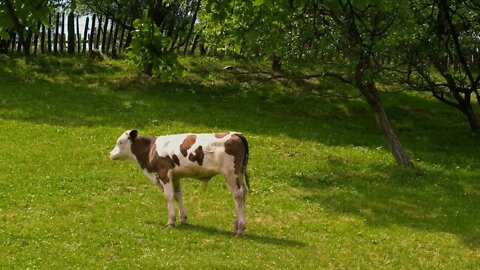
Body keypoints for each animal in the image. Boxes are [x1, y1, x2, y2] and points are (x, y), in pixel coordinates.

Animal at [110, 130, 249, 236]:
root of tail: (236, 134)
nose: (110, 153)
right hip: (238, 173)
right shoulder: (175, 177)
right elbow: (178, 195)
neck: (151, 149)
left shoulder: (164, 174)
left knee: (238, 195)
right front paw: (183, 220)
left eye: (120, 142)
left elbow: (169, 196)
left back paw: (240, 229)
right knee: (241, 195)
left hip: (231, 173)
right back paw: (236, 227)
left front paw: (171, 222)